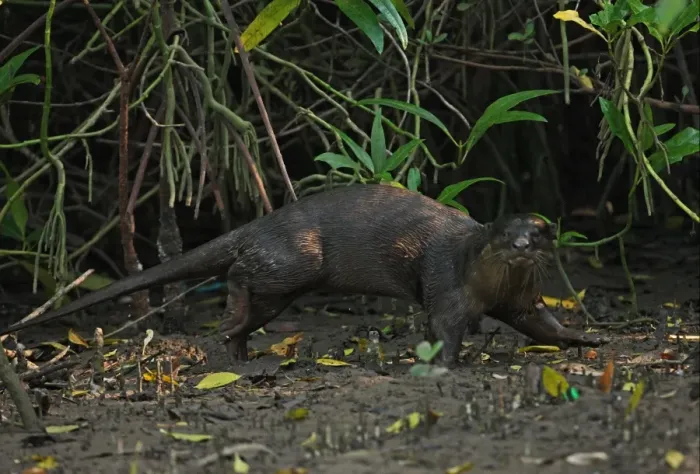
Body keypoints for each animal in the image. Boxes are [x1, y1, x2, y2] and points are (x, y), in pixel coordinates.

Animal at [1, 184, 608, 365]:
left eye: (541, 231)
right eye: (502, 235)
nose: (523, 245)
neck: (482, 283)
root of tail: (264, 222)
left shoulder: (520, 301)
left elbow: (542, 324)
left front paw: (585, 338)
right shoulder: (445, 286)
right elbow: (443, 325)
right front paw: (448, 363)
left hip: (286, 279)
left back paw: (240, 351)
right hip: (296, 258)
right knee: (241, 272)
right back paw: (231, 328)